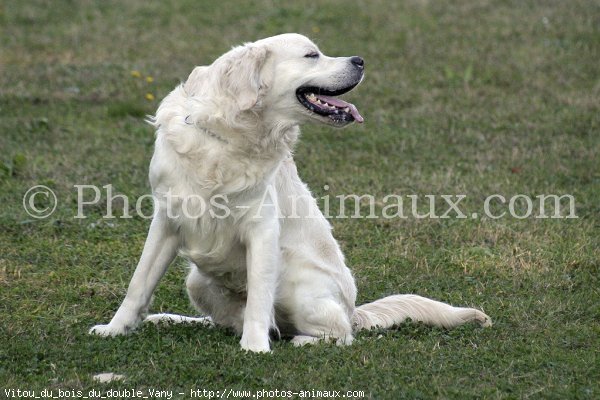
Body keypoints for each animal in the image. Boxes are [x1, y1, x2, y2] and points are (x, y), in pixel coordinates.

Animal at [90, 35, 492, 354]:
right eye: (311, 55)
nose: (360, 60)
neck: (228, 140)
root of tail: (354, 310)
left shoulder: (262, 229)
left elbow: (258, 299)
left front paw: (254, 349)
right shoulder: (167, 220)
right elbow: (139, 283)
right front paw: (115, 329)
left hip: (301, 287)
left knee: (337, 333)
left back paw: (298, 339)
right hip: (197, 282)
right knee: (229, 321)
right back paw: (176, 320)